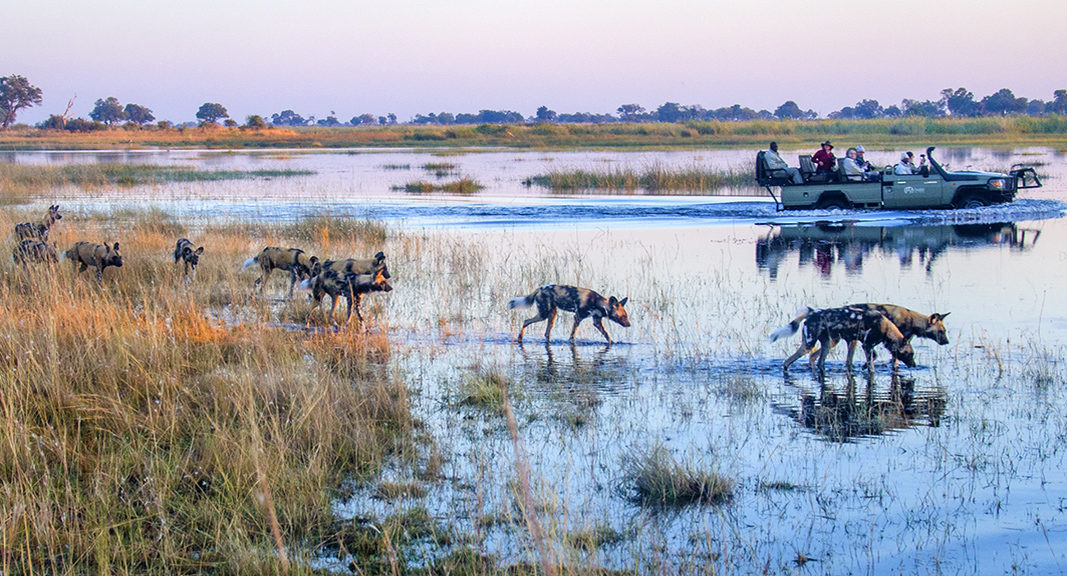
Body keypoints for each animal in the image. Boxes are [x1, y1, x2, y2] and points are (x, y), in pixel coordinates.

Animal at [768, 305, 917, 373]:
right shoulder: (867, 345)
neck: (886, 328)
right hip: (808, 346)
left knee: (818, 361)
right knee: (787, 362)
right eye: (909, 354)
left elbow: (868, 358)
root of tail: (812, 312)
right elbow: (872, 365)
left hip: (827, 344)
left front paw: (863, 366)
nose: (914, 365)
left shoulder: (857, 343)